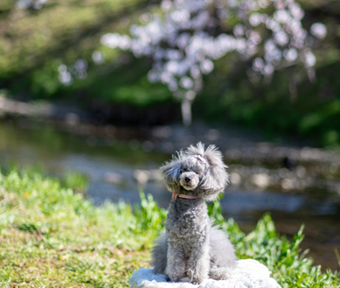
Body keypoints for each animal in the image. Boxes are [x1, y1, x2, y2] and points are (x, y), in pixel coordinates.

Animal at [152, 142, 236, 284]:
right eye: (184, 169)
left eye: (197, 172)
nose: (187, 178)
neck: (187, 200)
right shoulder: (175, 240)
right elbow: (174, 260)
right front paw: (173, 277)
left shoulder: (199, 241)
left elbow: (198, 262)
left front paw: (197, 279)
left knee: (213, 267)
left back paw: (219, 273)